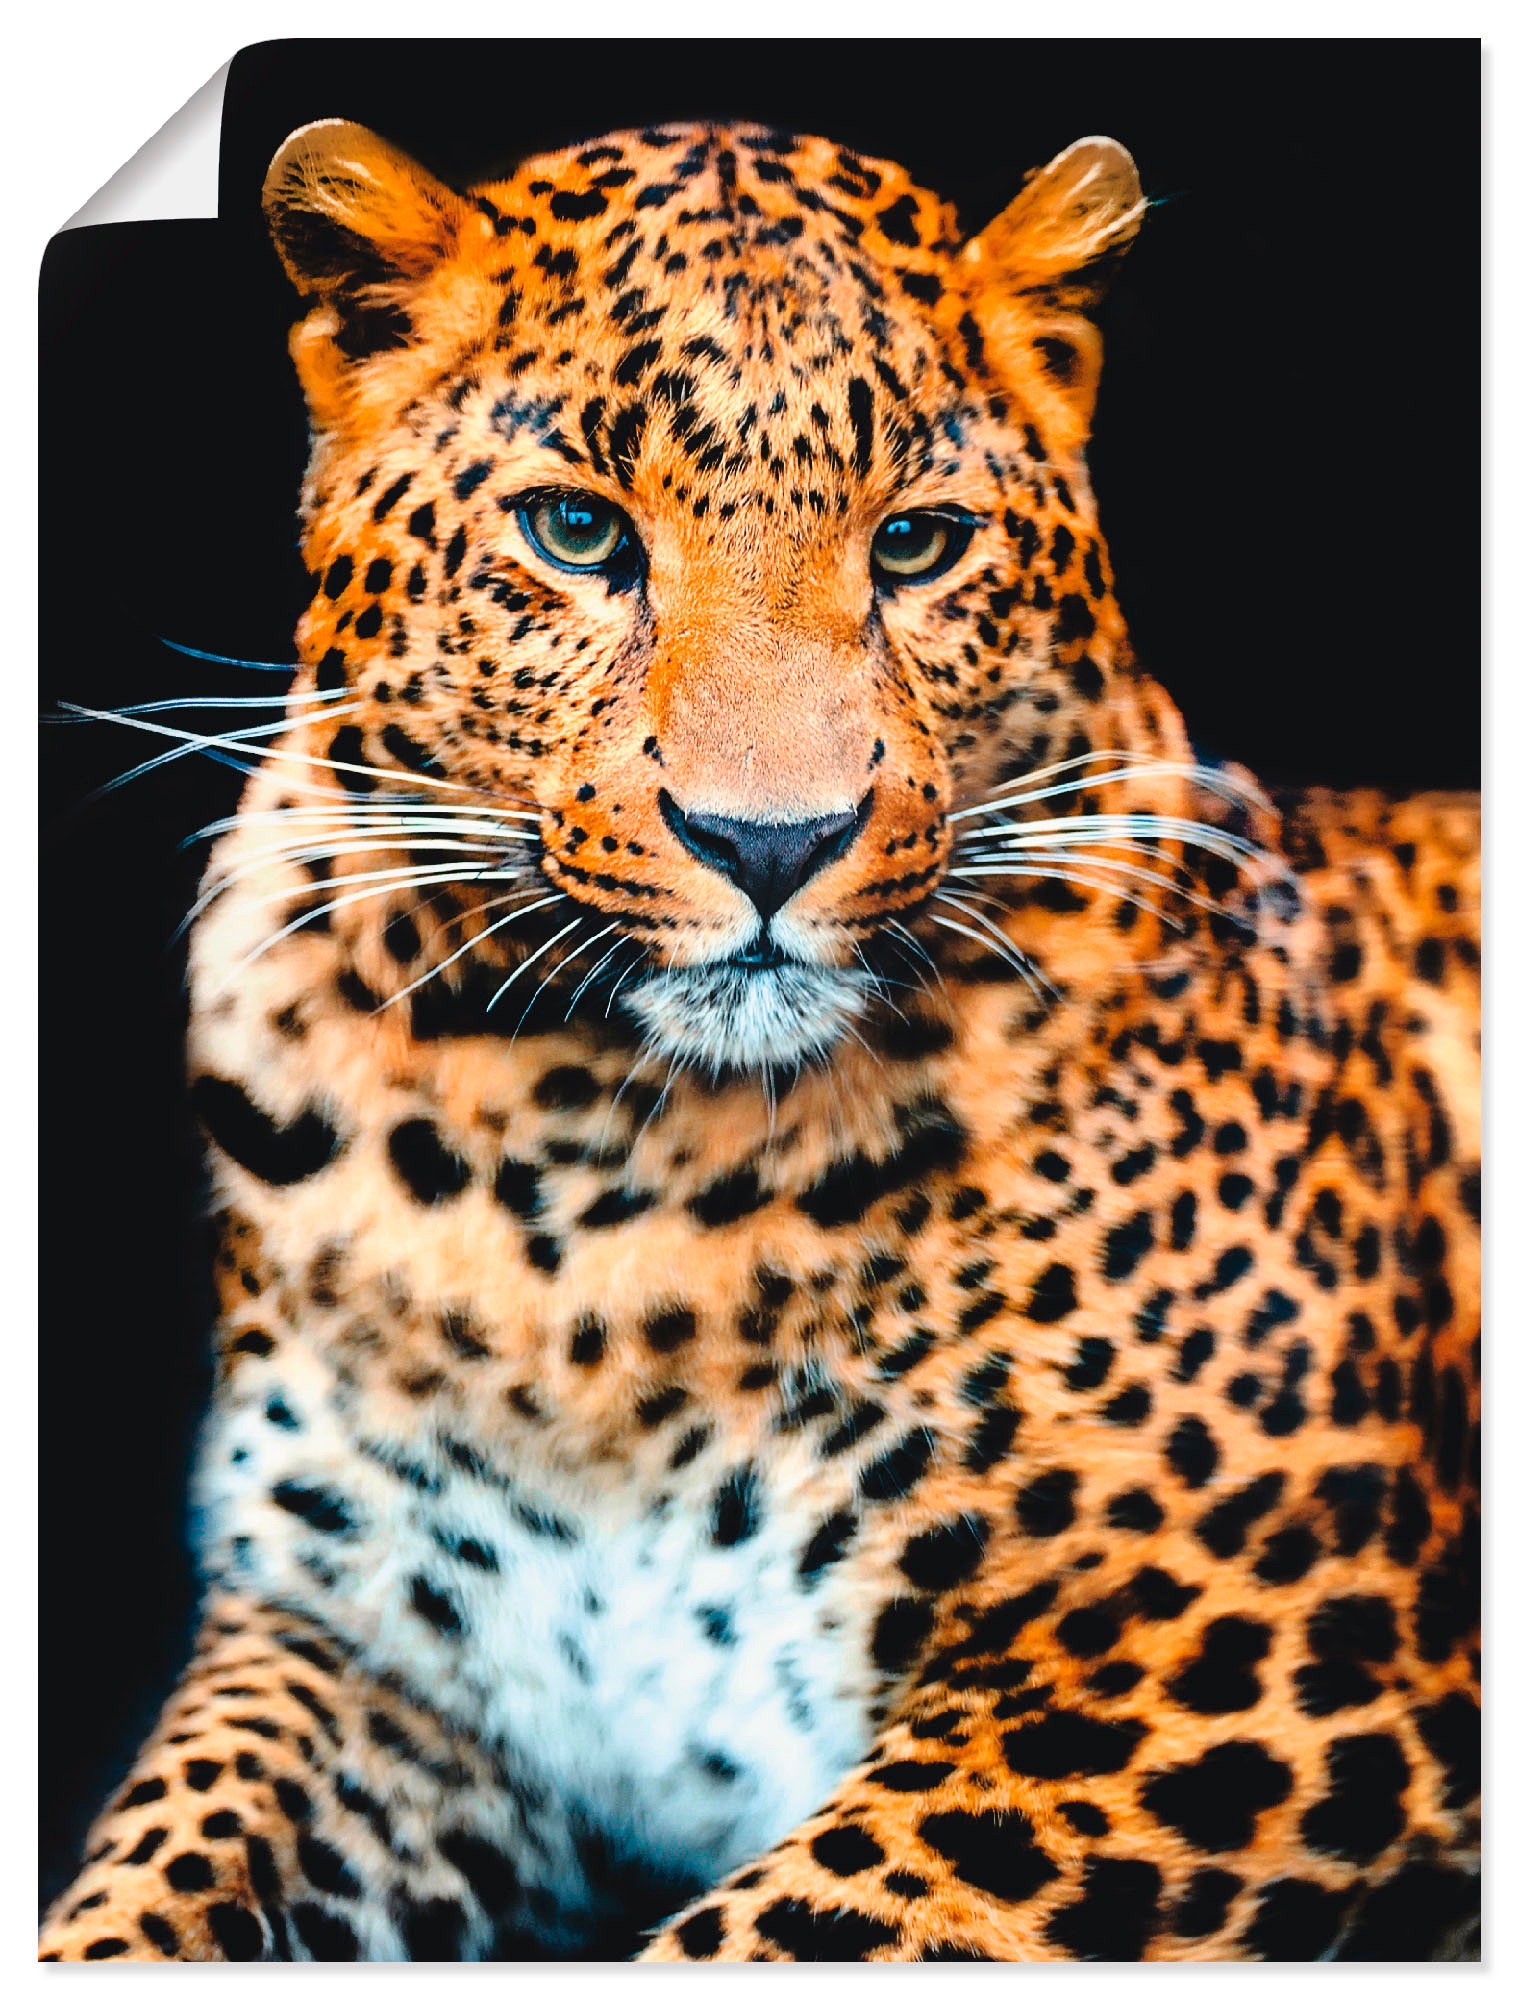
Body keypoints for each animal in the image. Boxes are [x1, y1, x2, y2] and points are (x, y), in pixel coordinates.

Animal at [39, 116, 1479, 1962]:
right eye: (577, 532)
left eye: (917, 544)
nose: (769, 842)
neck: (587, 1185)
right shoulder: (360, 1655)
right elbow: (153, 1872)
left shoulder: (1232, 1652)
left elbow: (786, 1925)